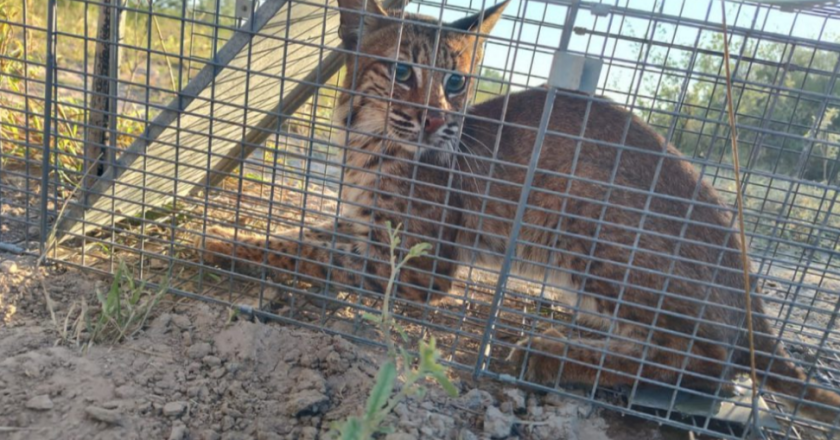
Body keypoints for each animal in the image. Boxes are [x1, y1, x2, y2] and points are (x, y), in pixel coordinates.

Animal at [200, 0, 840, 422]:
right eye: (402, 71)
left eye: (456, 82)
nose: (435, 120)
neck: (368, 140)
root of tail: (748, 263)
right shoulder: (367, 224)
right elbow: (305, 235)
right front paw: (224, 236)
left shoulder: (419, 267)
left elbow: (313, 254)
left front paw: (210, 247)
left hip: (588, 214)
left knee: (712, 362)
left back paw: (550, 352)